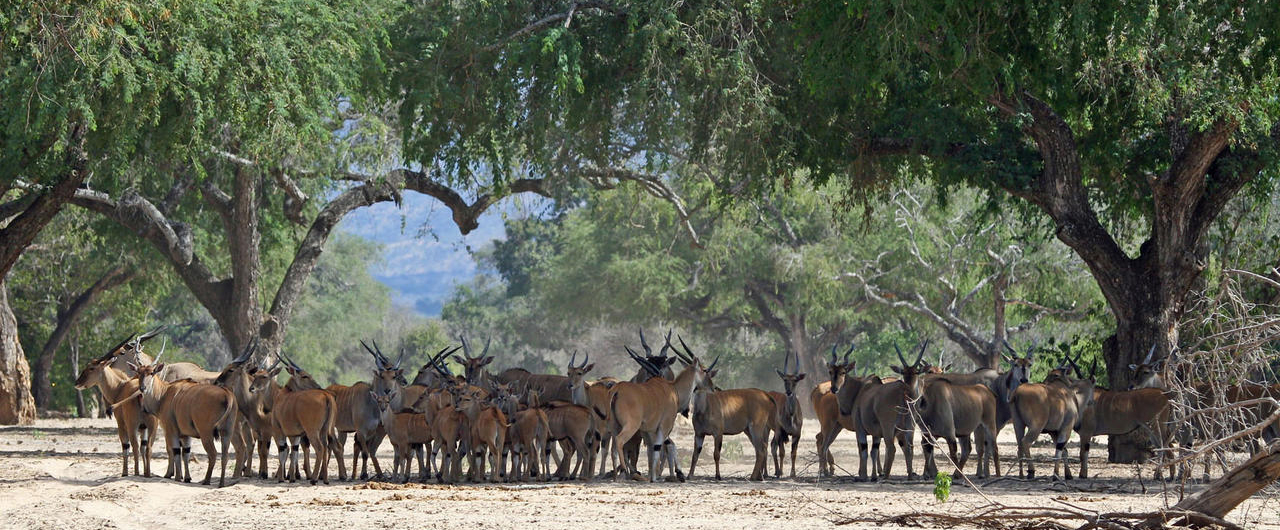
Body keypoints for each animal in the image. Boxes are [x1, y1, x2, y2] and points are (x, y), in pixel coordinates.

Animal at [133, 350, 243, 489]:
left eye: (152, 373)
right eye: (139, 373)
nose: (143, 388)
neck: (164, 394)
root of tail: (227, 394)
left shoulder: (171, 431)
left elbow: (175, 451)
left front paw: (177, 477)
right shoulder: (186, 435)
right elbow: (186, 453)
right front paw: (187, 478)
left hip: (206, 434)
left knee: (213, 454)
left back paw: (206, 480)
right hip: (227, 433)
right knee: (225, 456)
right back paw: (221, 483)